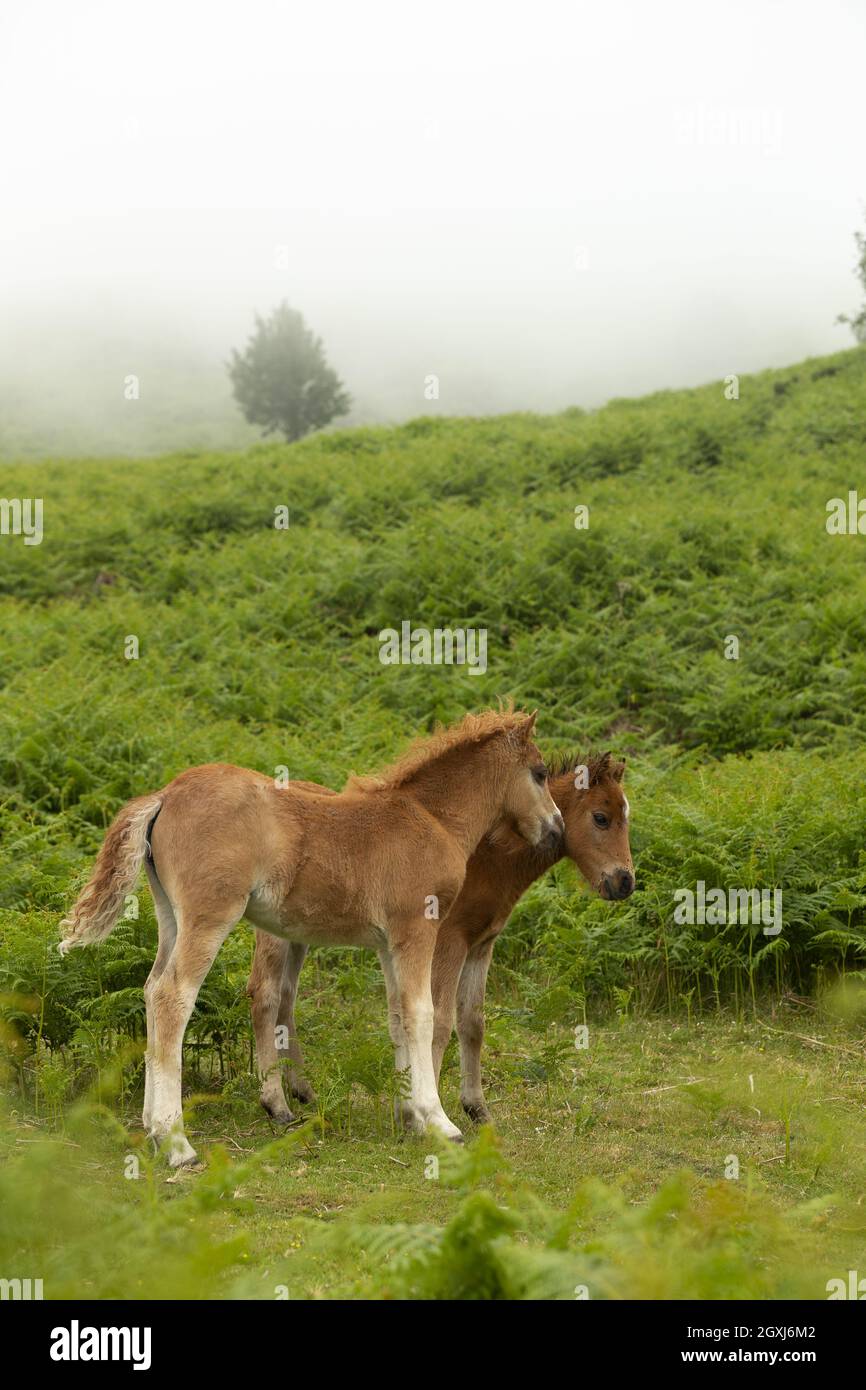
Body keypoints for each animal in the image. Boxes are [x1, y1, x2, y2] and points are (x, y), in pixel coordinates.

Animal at [59, 706, 561, 1162]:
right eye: (540, 773)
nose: (555, 829)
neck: (432, 819)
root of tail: (165, 794)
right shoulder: (417, 929)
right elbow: (423, 1015)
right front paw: (439, 1121)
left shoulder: (388, 944)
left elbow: (397, 1016)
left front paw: (409, 1117)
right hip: (210, 916)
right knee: (173, 997)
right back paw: (177, 1142)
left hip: (171, 916)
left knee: (151, 988)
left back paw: (152, 1127)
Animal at [247, 750, 633, 1128]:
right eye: (601, 818)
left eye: (626, 815)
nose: (625, 882)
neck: (485, 859)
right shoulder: (449, 941)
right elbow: (439, 1021)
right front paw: (427, 1111)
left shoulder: (481, 945)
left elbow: (472, 1022)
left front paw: (475, 1108)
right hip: (273, 933)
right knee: (265, 994)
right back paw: (278, 1105)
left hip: (297, 933)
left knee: (286, 997)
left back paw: (302, 1090)